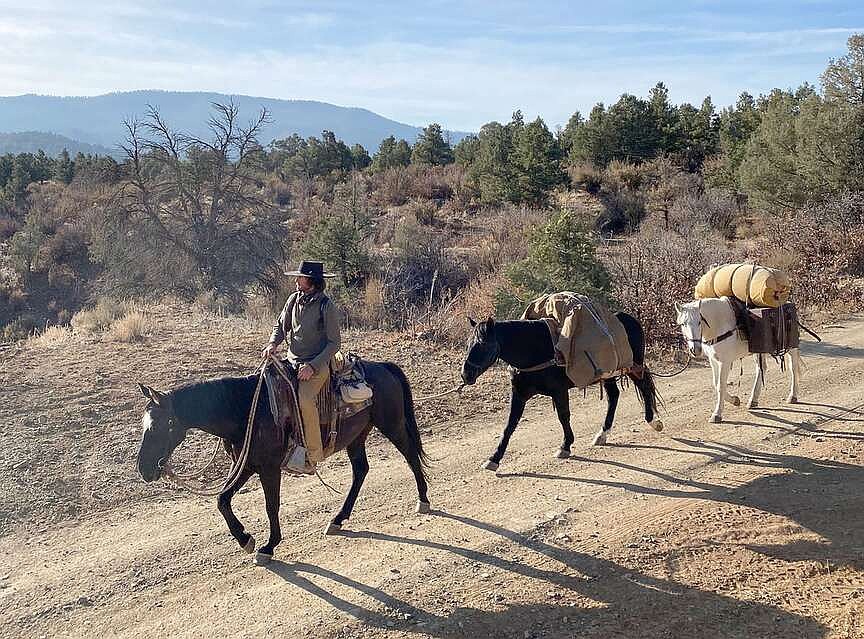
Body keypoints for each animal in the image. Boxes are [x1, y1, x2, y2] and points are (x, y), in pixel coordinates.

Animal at [136, 360, 430, 564]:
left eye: (160, 425)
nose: (143, 469)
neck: (244, 410)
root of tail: (383, 367)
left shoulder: (268, 468)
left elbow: (271, 505)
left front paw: (268, 546)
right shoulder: (246, 466)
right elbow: (222, 500)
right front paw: (245, 539)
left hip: (391, 425)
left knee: (410, 456)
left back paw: (423, 500)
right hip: (358, 435)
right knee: (361, 470)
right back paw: (338, 519)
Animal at [460, 314, 663, 471]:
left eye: (482, 344)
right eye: (468, 344)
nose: (465, 374)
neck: (535, 351)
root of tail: (631, 319)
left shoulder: (559, 391)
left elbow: (563, 416)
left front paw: (565, 446)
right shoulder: (519, 394)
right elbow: (509, 425)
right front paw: (494, 458)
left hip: (633, 367)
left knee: (644, 387)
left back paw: (652, 421)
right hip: (609, 374)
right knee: (613, 396)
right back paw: (602, 434)